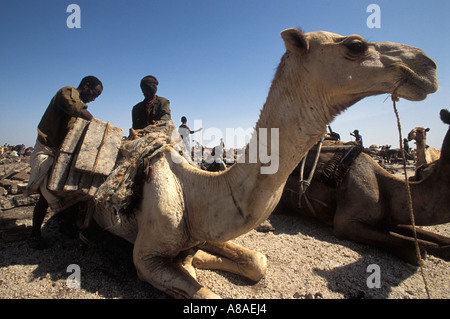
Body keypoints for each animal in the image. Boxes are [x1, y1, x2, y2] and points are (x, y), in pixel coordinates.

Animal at [282, 111, 450, 266]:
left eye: (420, 131)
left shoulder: (390, 217)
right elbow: (417, 252)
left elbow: (433, 237)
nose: (408, 135)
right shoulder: (345, 223)